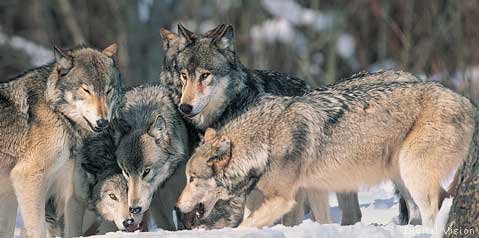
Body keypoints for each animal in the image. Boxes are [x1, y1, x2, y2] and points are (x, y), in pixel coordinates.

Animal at [0, 43, 122, 237]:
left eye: (108, 91)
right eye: (86, 90)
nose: (103, 122)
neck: (57, 111)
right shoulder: (26, 176)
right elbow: (37, 230)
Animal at [177, 75, 476, 228]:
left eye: (192, 178)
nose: (177, 207)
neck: (266, 140)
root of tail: (467, 102)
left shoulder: (285, 199)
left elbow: (244, 227)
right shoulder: (314, 189)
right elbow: (321, 222)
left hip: (412, 173)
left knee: (432, 214)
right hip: (401, 177)